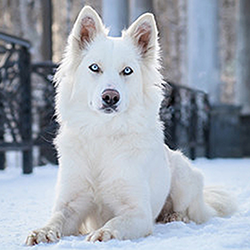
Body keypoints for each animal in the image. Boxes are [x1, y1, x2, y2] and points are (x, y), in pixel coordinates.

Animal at [25, 6, 236, 246]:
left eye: (127, 71)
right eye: (94, 67)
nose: (110, 97)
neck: (104, 133)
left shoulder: (138, 213)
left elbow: (117, 222)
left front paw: (104, 233)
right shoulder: (71, 203)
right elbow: (57, 218)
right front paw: (42, 231)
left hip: (183, 176)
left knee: (187, 208)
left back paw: (174, 216)